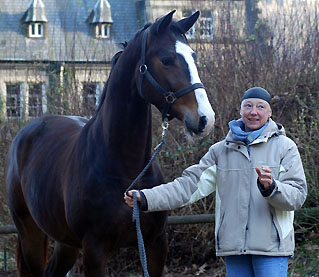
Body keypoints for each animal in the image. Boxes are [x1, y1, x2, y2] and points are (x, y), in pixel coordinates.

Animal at [5, 9, 216, 274]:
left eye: (194, 57)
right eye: (167, 59)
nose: (205, 118)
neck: (125, 170)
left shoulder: (156, 244)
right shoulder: (94, 251)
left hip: (66, 242)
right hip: (30, 233)